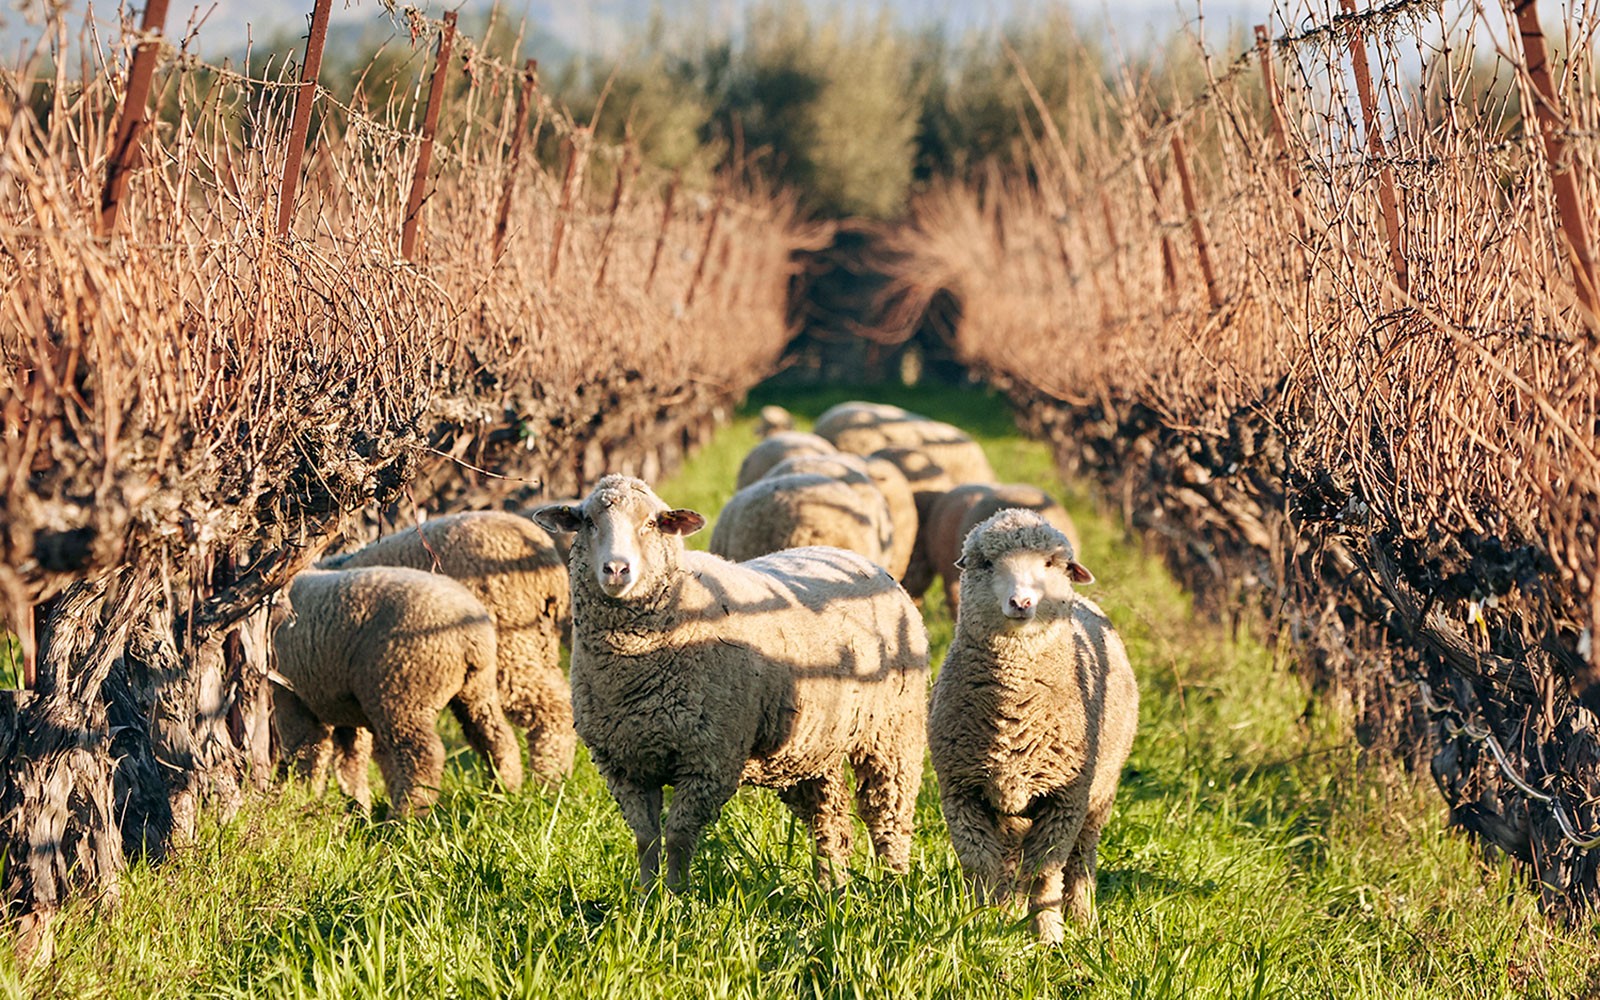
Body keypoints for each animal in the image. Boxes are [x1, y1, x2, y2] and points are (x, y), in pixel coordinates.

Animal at [271, 567, 525, 817]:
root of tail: (471, 637)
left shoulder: (292, 697)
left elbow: (306, 752)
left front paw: (300, 801)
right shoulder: (343, 706)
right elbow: (350, 760)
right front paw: (357, 809)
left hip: (402, 692)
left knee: (422, 756)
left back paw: (406, 815)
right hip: (476, 690)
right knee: (496, 738)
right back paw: (502, 792)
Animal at [928, 509, 1137, 944]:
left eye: (1051, 564)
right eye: (986, 563)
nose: (1021, 601)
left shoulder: (1066, 798)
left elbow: (1045, 870)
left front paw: (1048, 934)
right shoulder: (961, 792)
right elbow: (983, 867)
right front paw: (983, 924)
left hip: (1100, 794)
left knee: (1080, 858)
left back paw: (1081, 916)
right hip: (1010, 806)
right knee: (1011, 859)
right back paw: (1009, 910)